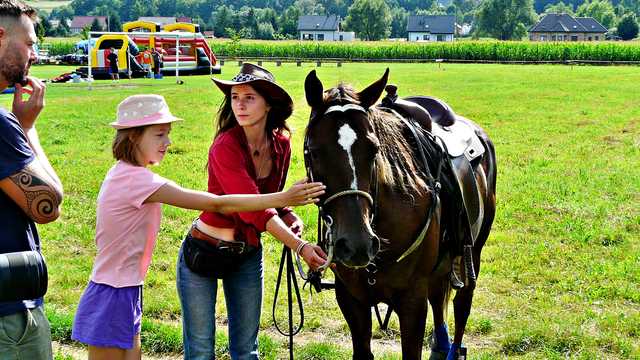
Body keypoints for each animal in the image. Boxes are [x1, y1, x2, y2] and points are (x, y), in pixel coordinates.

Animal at [302, 68, 498, 360]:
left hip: (472, 252)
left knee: (462, 303)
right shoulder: (350, 298)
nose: (357, 244)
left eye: (373, 149)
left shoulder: (412, 300)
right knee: (438, 295)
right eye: (314, 152)